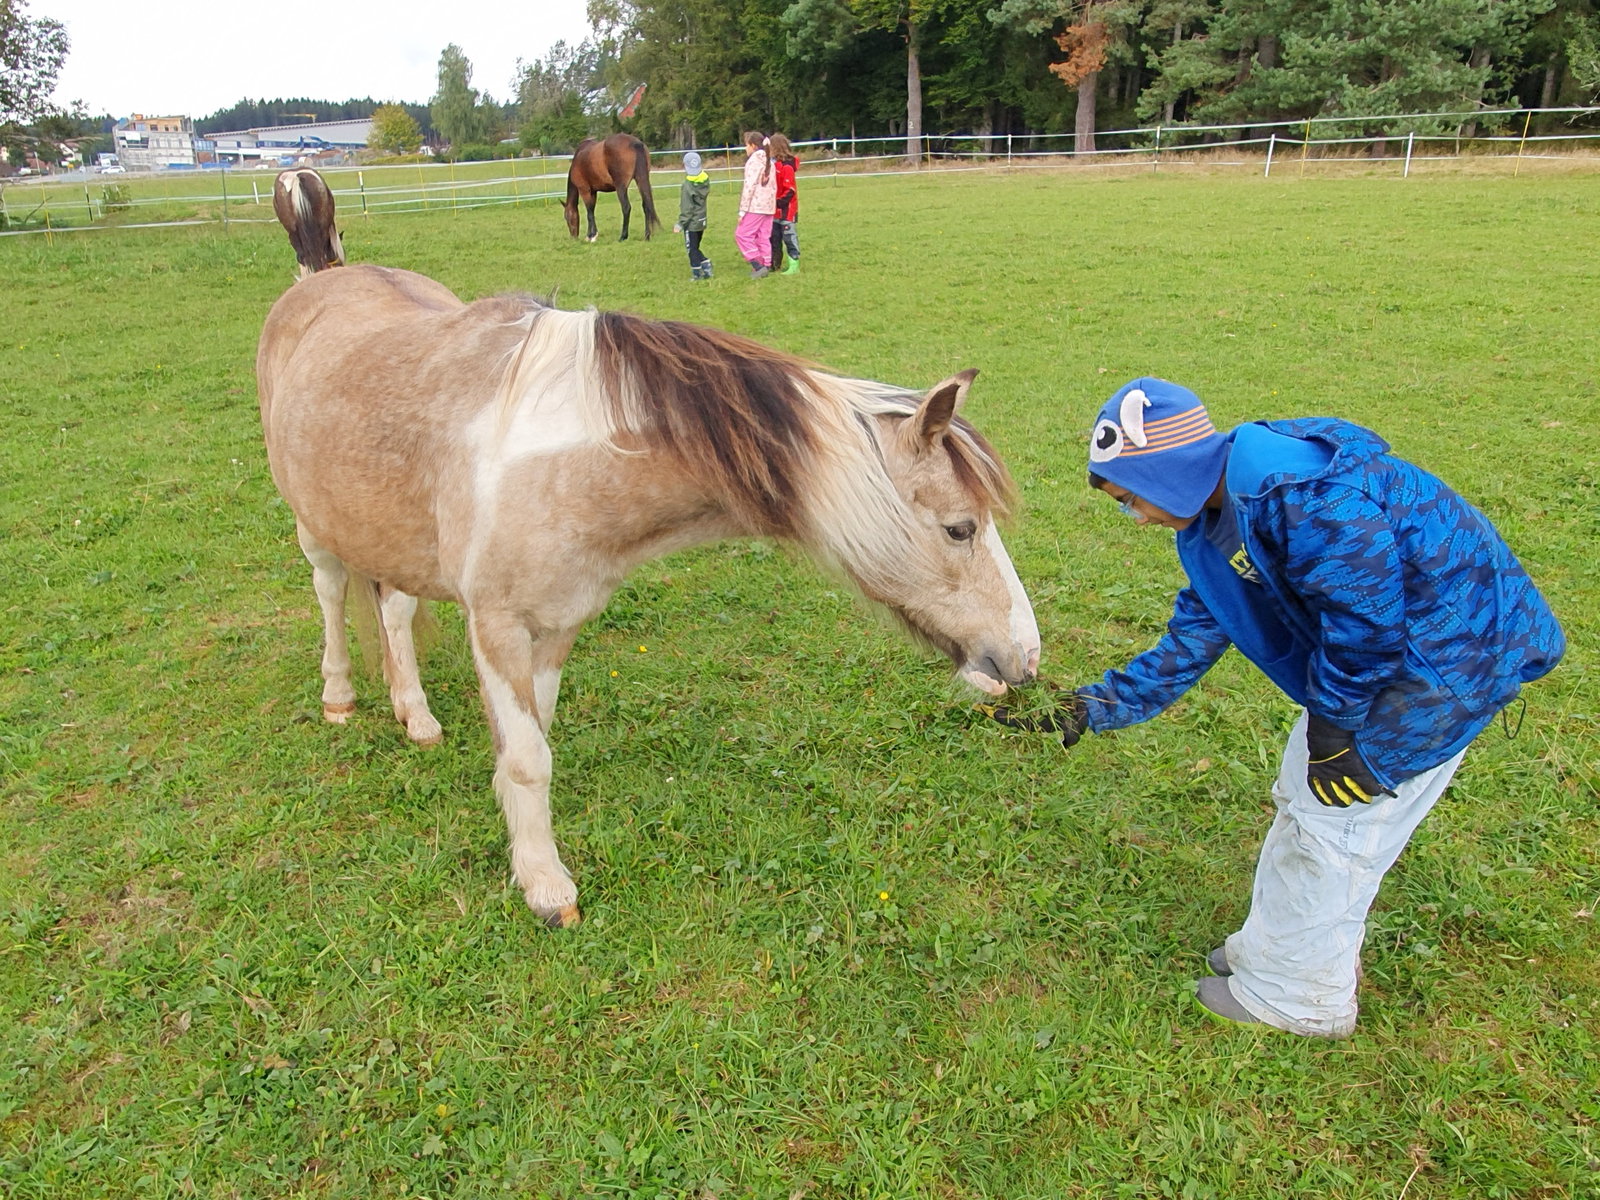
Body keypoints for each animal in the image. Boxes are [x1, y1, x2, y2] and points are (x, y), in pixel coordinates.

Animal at [256, 264, 1040, 927]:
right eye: (961, 528)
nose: (1026, 656)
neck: (574, 461)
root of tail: (319, 278)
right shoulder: (498, 625)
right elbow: (528, 756)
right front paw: (546, 888)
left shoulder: (558, 623)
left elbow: (533, 740)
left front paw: (521, 838)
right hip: (313, 527)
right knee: (332, 594)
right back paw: (339, 696)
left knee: (393, 611)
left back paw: (414, 714)